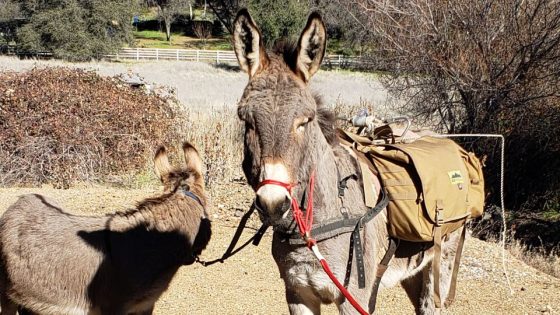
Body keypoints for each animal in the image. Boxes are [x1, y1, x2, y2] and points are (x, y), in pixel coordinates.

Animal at [234, 8, 462, 314]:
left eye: (304, 121)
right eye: (247, 121)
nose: (273, 204)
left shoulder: (354, 297)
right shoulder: (297, 292)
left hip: (442, 260)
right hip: (412, 270)